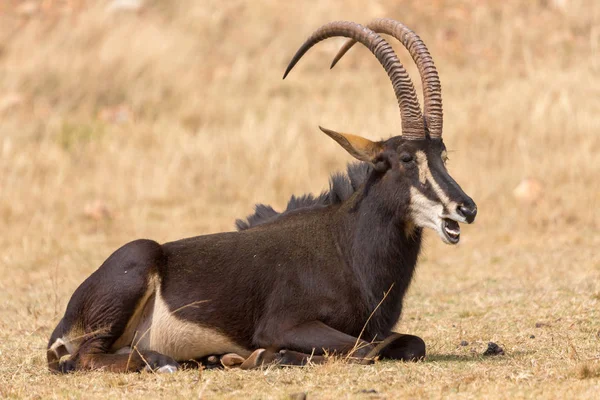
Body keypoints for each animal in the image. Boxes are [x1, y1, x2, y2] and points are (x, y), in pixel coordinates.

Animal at [47, 18, 478, 374]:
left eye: (442, 155)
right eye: (405, 158)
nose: (466, 208)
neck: (346, 247)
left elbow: (410, 343)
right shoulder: (283, 324)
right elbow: (364, 348)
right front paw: (263, 356)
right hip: (133, 270)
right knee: (83, 358)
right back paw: (163, 360)